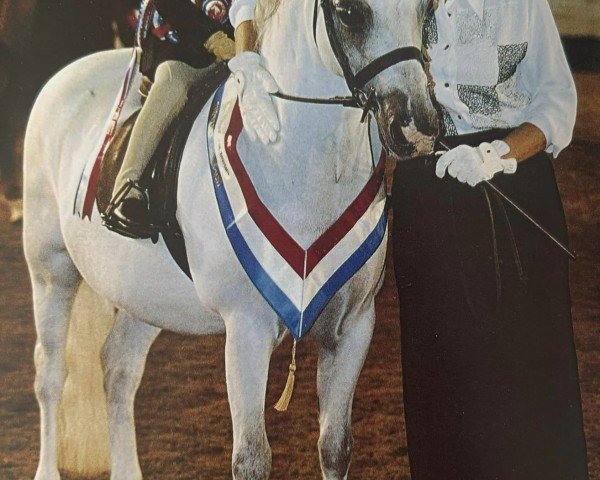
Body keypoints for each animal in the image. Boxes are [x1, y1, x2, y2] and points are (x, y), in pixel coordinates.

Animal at [24, 0, 436, 478]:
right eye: (351, 13)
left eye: (426, 9)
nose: (417, 129)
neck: (299, 163)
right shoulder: (247, 330)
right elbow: (251, 458)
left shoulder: (353, 328)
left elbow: (336, 447)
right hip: (50, 269)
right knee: (50, 374)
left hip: (142, 295)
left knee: (119, 368)